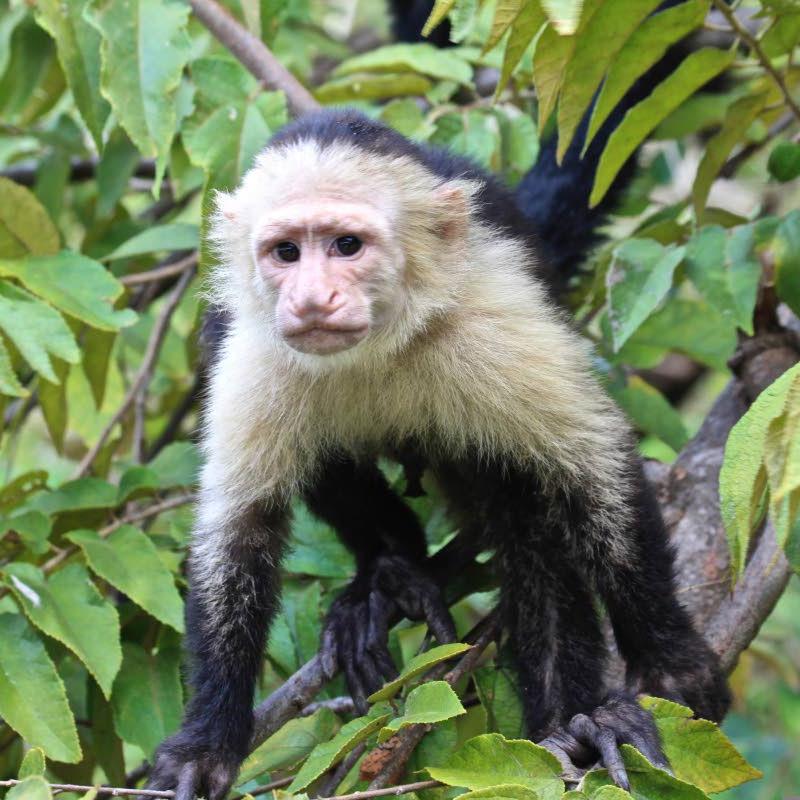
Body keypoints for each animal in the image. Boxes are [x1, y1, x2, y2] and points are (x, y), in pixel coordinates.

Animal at [148, 19, 731, 800]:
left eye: (347, 245)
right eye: (285, 252)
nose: (311, 298)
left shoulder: (491, 314)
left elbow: (592, 465)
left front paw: (671, 658)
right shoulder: (258, 353)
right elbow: (238, 533)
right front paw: (205, 744)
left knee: (525, 496)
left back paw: (572, 720)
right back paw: (389, 568)